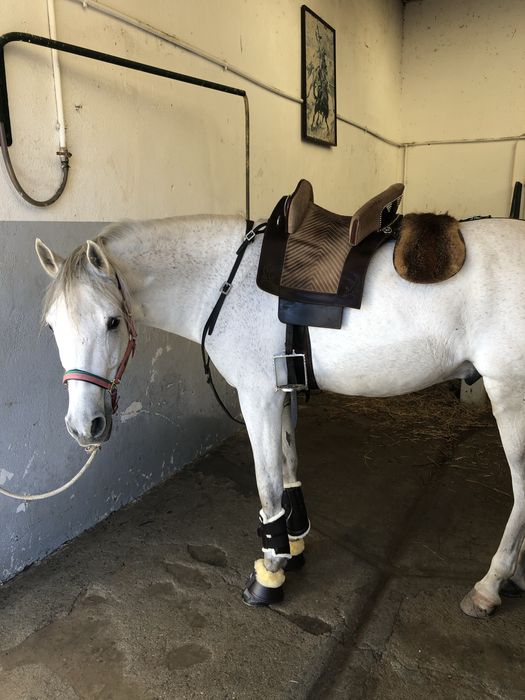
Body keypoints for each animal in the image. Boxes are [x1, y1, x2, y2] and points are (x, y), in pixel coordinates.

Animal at [35, 212, 525, 618]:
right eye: (51, 326)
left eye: (112, 321)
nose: (85, 426)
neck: (223, 286)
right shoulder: (281, 393)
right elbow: (289, 469)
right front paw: (294, 543)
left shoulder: (257, 399)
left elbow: (268, 484)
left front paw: (270, 573)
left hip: (510, 396)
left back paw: (489, 586)